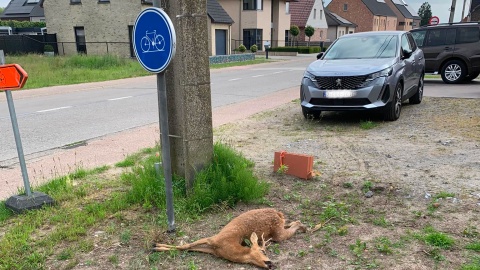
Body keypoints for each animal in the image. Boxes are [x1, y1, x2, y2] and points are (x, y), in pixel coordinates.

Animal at [153, 209, 308, 268]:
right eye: (263, 251)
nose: (271, 264)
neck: (227, 248)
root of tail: (278, 213)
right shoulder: (213, 240)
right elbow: (186, 246)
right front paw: (156, 246)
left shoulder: (213, 246)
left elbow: (186, 247)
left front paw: (157, 246)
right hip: (278, 231)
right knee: (290, 224)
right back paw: (304, 227)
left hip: (277, 232)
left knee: (292, 224)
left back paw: (304, 227)